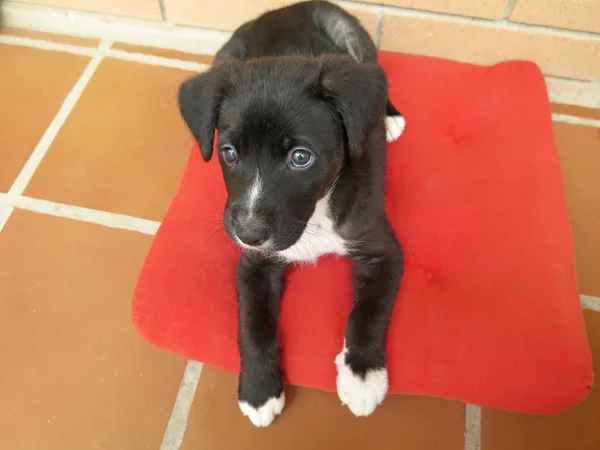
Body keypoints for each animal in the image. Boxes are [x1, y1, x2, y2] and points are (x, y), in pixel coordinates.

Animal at [177, 0, 404, 428]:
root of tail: (283, 9)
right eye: (229, 153)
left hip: (353, 36)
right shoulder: (253, 264)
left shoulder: (383, 252)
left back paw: (391, 117)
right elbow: (253, 327)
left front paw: (362, 375)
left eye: (301, 158)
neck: (316, 213)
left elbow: (370, 312)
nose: (247, 234)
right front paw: (259, 391)